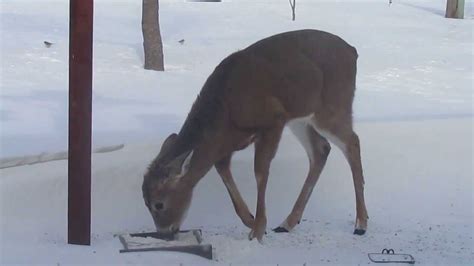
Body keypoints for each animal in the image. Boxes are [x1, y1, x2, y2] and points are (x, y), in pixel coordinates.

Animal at [143, 29, 368, 243]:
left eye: (159, 204)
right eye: (145, 202)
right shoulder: (228, 142)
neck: (225, 111)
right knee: (321, 149)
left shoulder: (273, 120)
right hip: (300, 118)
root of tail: (353, 51)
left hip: (332, 106)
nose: (164, 233)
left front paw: (258, 230)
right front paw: (251, 220)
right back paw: (287, 223)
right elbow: (222, 168)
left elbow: (259, 171)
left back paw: (361, 224)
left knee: (352, 142)